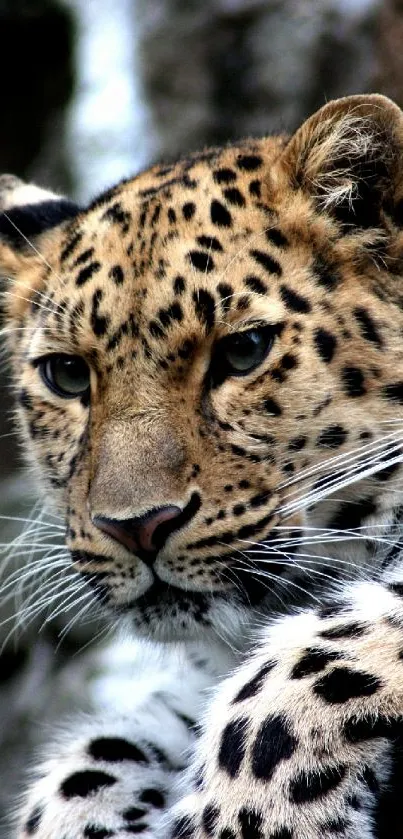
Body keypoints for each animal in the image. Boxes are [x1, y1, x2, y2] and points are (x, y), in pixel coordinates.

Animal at [2, 93, 403, 839]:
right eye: (66, 375)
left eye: (244, 351)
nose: (136, 526)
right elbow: (85, 768)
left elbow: (307, 662)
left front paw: (254, 817)